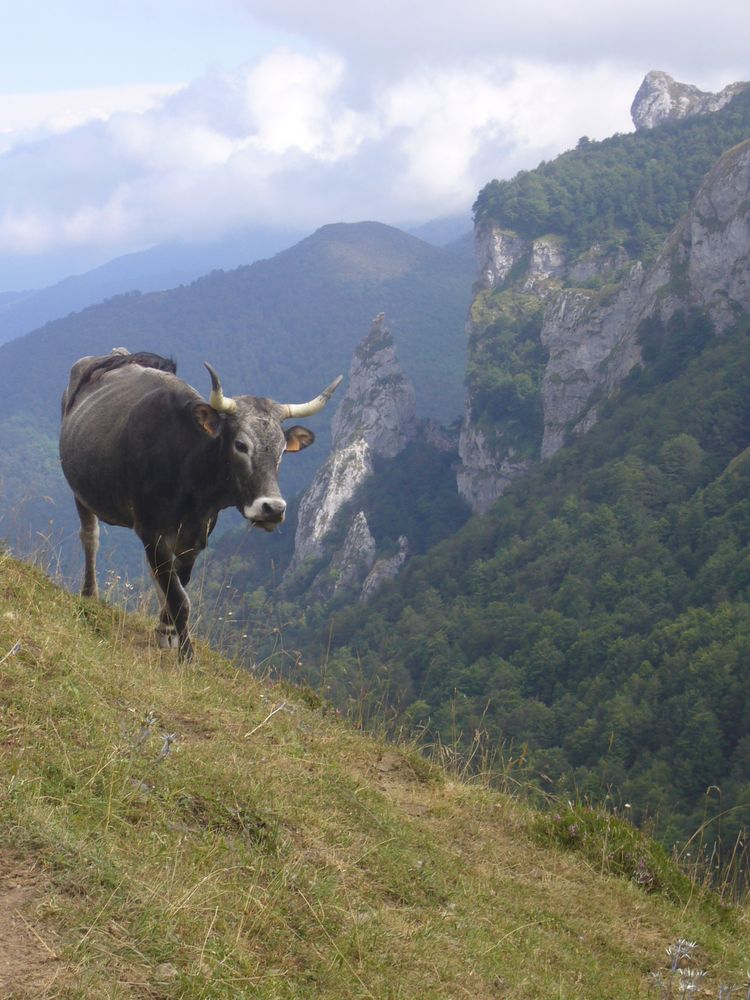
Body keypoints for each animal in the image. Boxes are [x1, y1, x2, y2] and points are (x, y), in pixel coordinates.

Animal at [61, 348, 344, 660]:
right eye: (241, 445)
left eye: (282, 450)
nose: (273, 508)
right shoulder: (151, 532)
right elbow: (180, 600)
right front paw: (187, 655)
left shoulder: (194, 539)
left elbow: (178, 587)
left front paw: (166, 632)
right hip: (80, 491)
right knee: (90, 537)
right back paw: (90, 594)